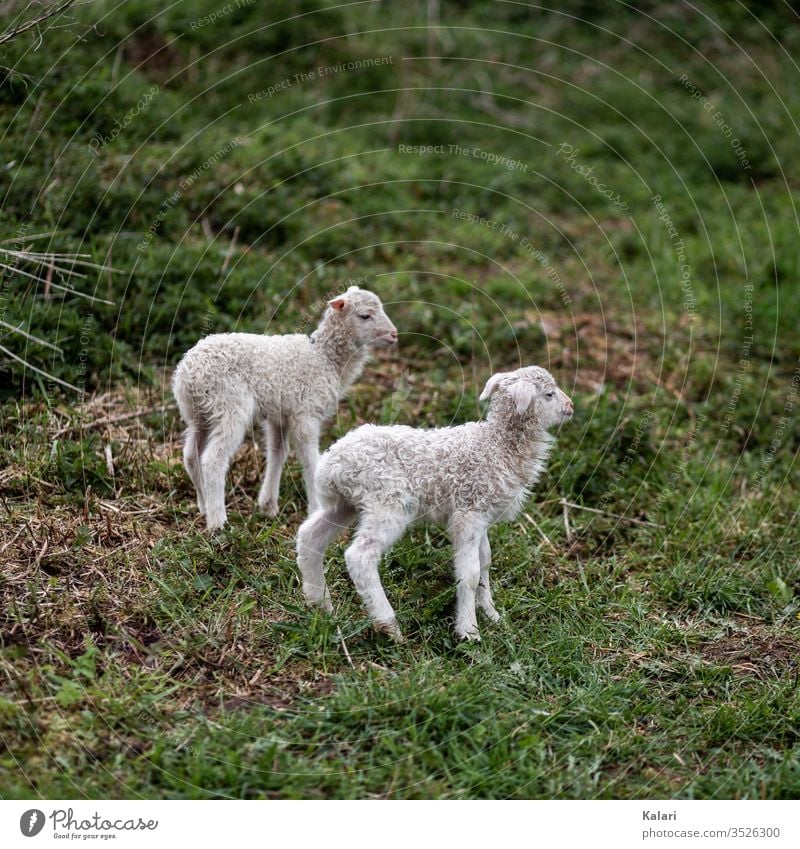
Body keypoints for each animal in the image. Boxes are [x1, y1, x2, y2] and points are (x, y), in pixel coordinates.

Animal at [172, 286, 396, 528]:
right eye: (365, 316)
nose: (394, 334)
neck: (324, 358)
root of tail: (189, 371)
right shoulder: (305, 414)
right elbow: (309, 460)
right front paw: (316, 509)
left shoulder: (279, 415)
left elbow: (277, 453)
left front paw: (268, 505)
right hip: (229, 406)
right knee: (213, 460)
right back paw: (218, 521)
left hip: (198, 412)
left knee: (191, 455)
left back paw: (203, 506)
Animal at [296, 362, 572, 636]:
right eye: (549, 394)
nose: (570, 406)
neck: (497, 444)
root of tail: (332, 463)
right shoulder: (468, 515)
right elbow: (470, 573)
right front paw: (469, 630)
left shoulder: (481, 513)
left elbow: (485, 562)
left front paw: (492, 615)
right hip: (388, 503)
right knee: (360, 556)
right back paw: (389, 625)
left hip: (343, 502)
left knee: (310, 537)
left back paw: (320, 604)